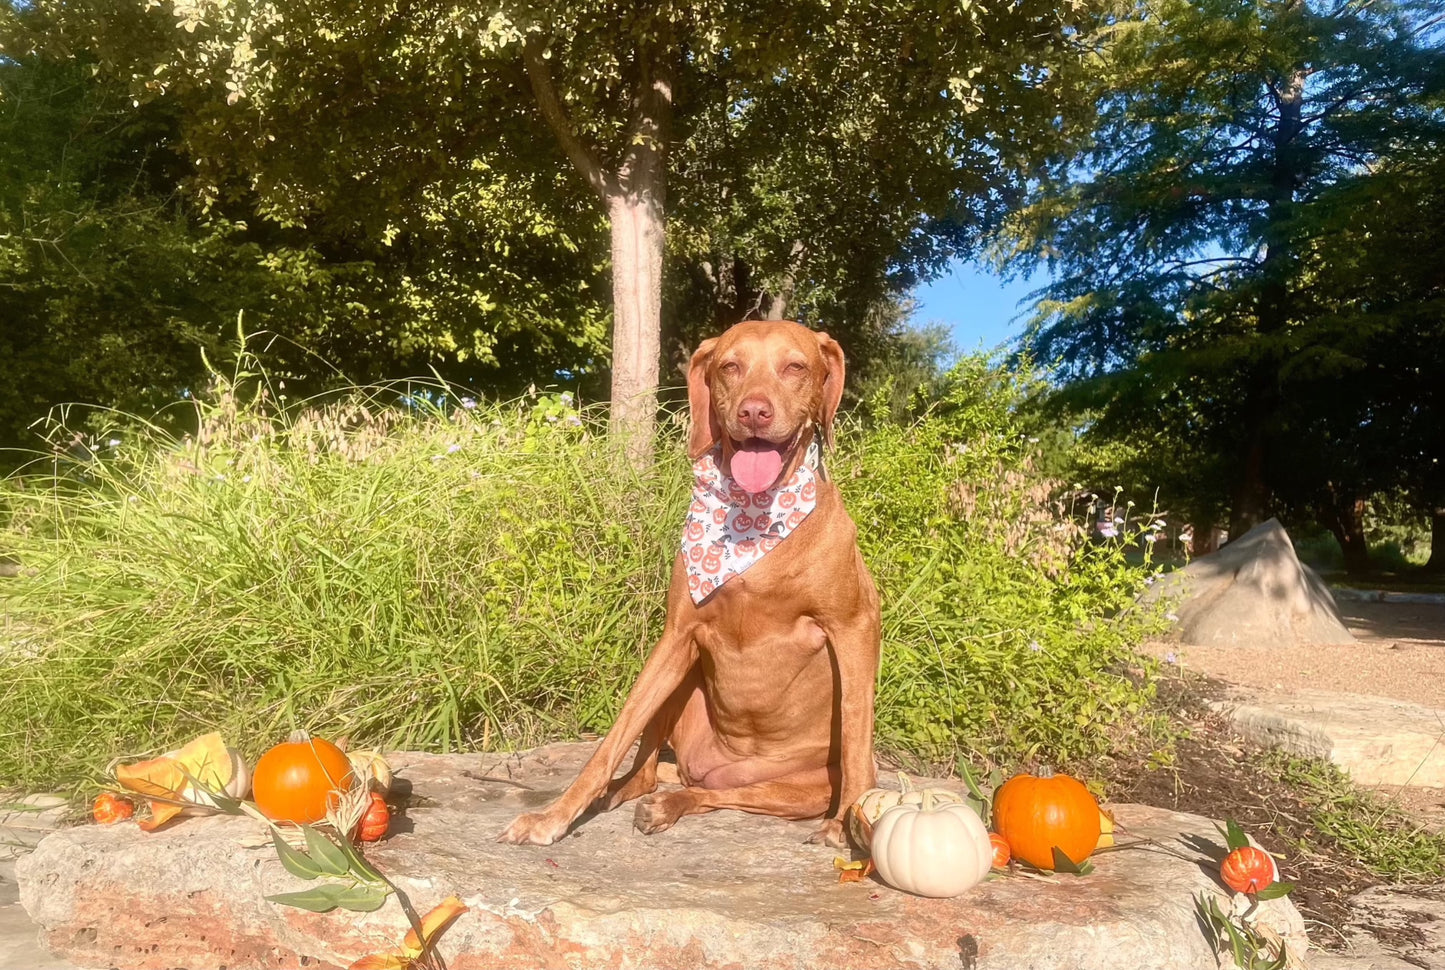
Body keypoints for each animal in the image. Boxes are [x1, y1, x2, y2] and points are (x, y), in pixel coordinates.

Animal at [497, 320, 878, 850]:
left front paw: (846, 823)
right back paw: (626, 797)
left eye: (795, 367)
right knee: (647, 773)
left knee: (719, 794)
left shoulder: (855, 626)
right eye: (730, 366)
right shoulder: (677, 634)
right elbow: (613, 739)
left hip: (800, 788)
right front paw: (555, 815)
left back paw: (673, 804)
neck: (754, 524)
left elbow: (856, 727)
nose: (754, 411)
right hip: (681, 679)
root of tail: (710, 770)